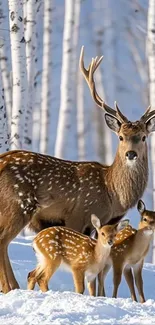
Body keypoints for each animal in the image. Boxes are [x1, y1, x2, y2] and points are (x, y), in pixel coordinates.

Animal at [0, 46, 155, 292]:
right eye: (121, 136)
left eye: (143, 137)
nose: (131, 154)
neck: (113, 194)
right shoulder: (78, 213)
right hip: (19, 203)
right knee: (3, 240)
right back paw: (11, 287)